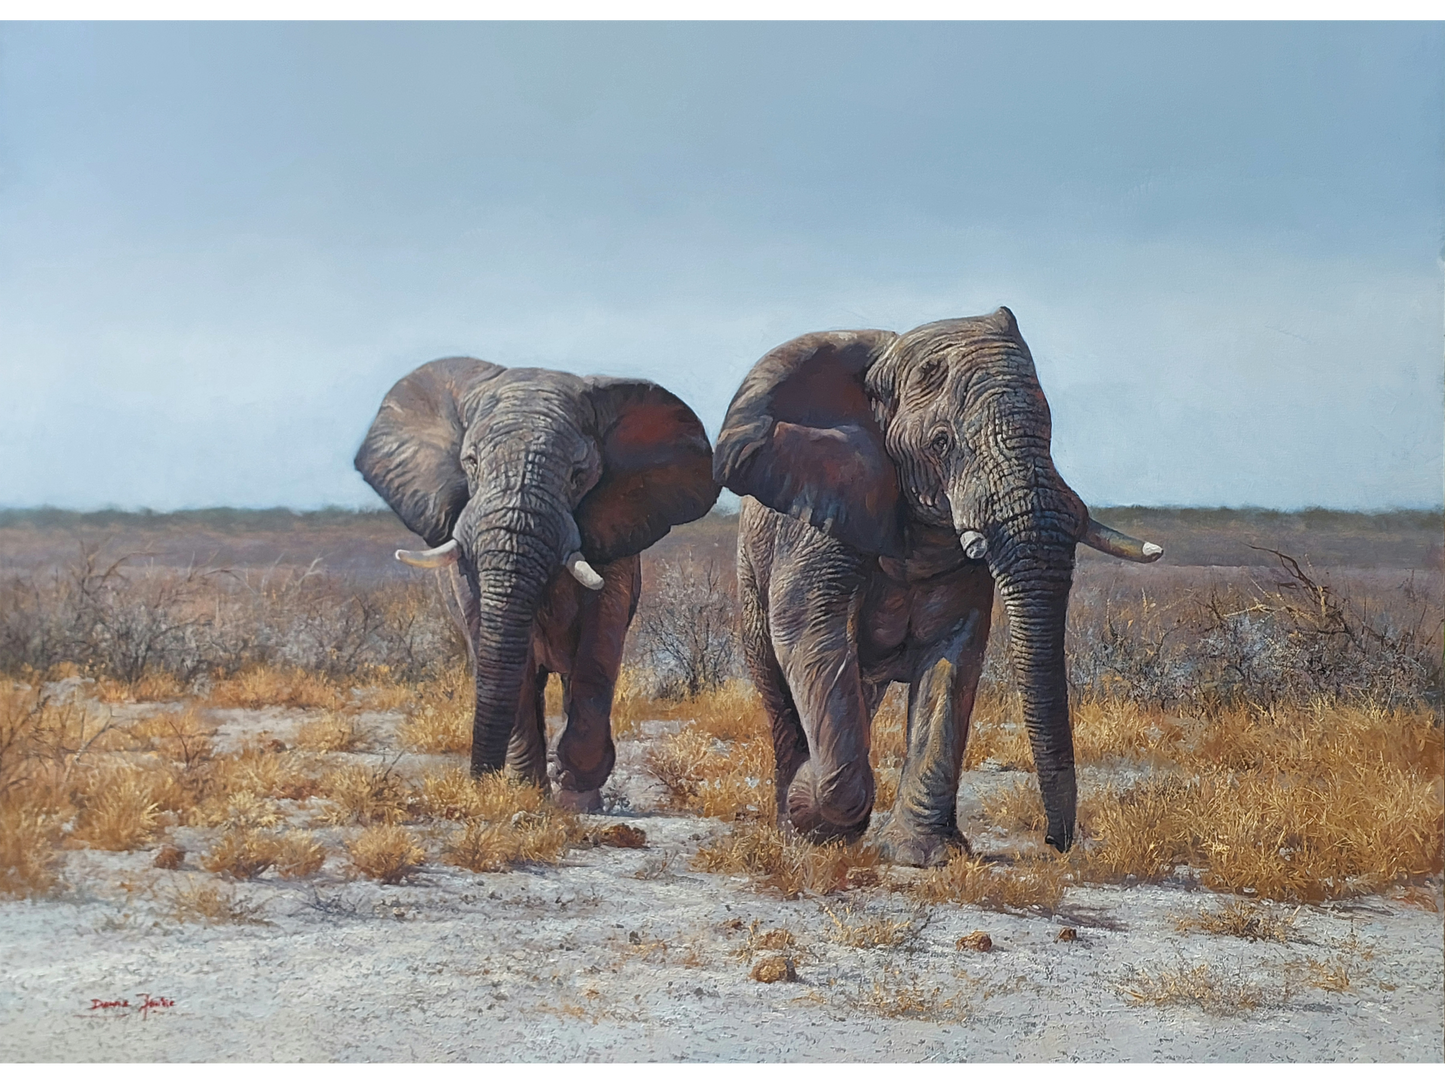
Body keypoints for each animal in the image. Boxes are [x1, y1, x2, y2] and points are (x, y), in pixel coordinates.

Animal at [356, 357, 719, 810]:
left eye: (578, 475)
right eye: (471, 462)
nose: (478, 784)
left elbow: (598, 648)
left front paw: (575, 801)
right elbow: (503, 652)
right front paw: (526, 793)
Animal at [713, 307, 1162, 865]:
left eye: (1049, 432)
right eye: (941, 442)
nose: (1053, 843)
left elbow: (953, 656)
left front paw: (920, 856)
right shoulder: (818, 514)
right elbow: (808, 630)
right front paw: (812, 809)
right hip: (749, 576)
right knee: (783, 692)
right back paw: (793, 829)